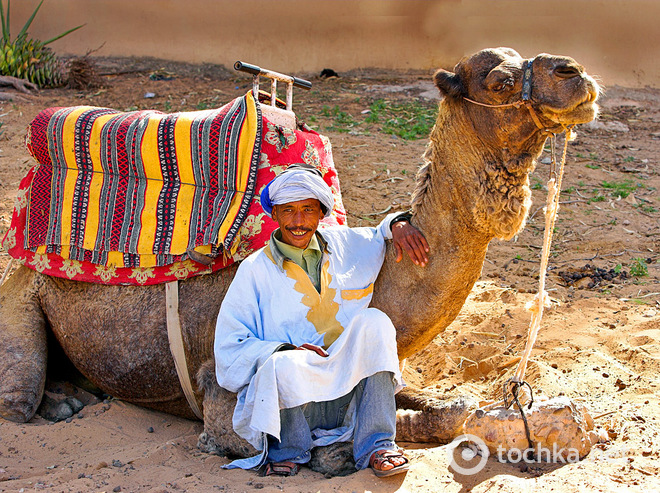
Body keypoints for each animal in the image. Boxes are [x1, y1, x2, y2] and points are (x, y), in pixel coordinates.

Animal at [0, 47, 600, 466]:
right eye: (500, 82)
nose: (575, 73)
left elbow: (440, 408)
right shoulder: (219, 394)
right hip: (23, 295)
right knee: (17, 399)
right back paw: (55, 404)